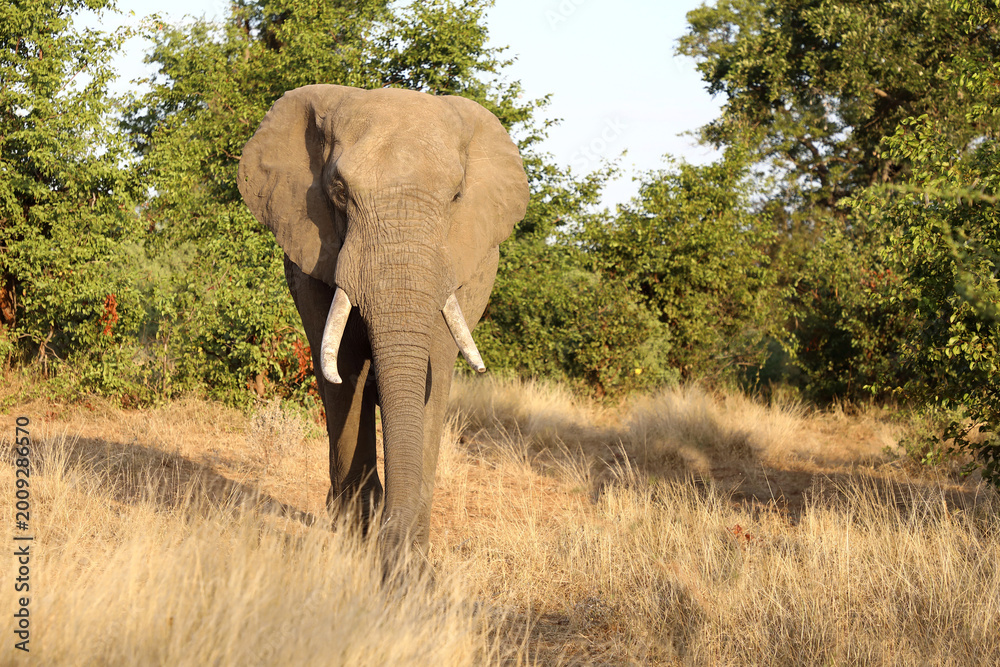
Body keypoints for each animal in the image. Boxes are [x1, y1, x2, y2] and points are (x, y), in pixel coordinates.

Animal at [237, 85, 529, 570]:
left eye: (456, 196)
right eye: (338, 191)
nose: (398, 556)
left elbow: (433, 373)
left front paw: (410, 557)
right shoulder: (314, 256)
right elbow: (342, 371)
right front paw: (358, 535)